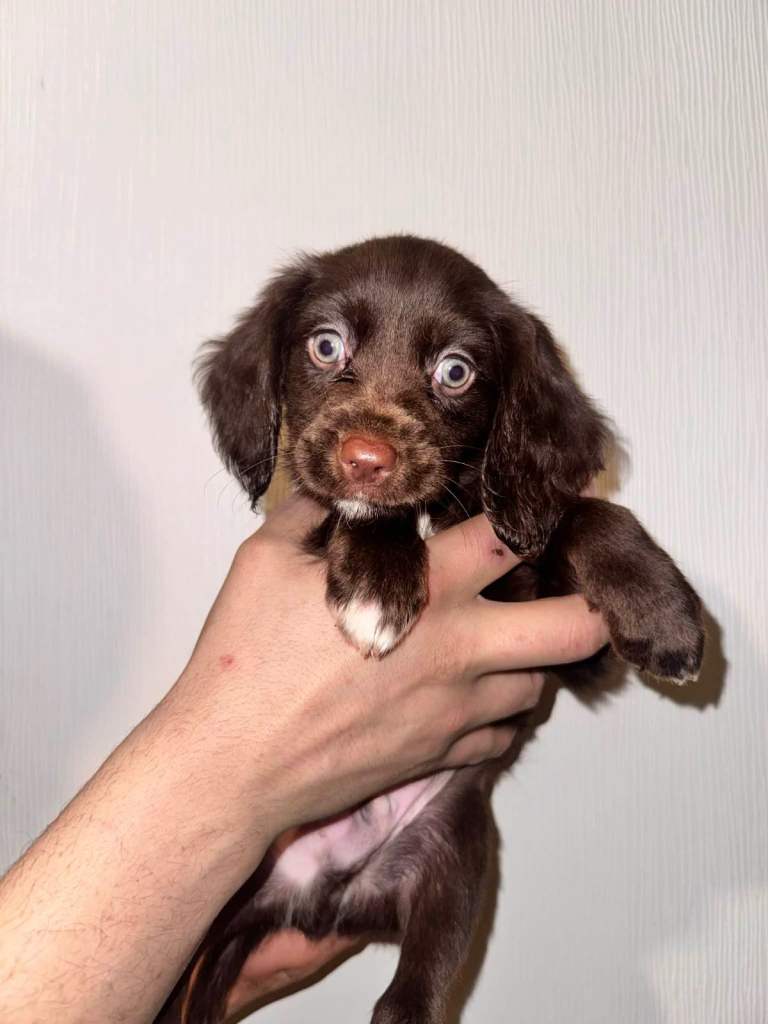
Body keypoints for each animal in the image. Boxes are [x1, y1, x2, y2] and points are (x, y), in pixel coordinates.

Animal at [157, 235, 704, 1023]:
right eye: (326, 345)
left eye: (455, 370)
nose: (365, 458)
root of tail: (326, 893)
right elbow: (359, 515)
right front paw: (378, 582)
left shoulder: (569, 651)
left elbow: (582, 511)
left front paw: (662, 612)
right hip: (209, 921)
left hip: (453, 861)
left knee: (406, 1002)